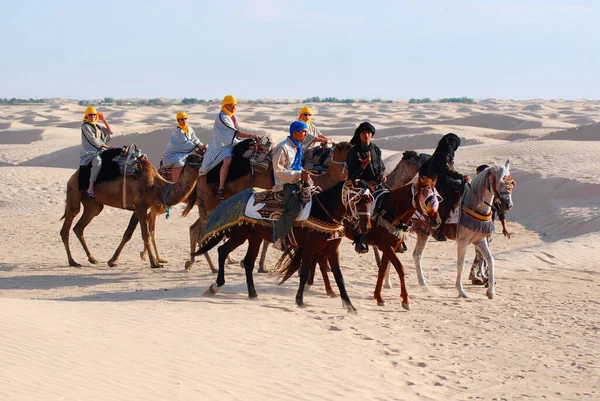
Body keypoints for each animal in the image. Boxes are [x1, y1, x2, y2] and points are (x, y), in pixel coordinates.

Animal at [60, 148, 204, 268]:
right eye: (199, 159)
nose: (208, 164)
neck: (156, 186)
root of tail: (73, 176)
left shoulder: (139, 208)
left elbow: (128, 233)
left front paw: (112, 261)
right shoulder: (140, 205)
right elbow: (145, 234)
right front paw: (155, 263)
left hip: (93, 205)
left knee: (79, 227)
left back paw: (92, 258)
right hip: (74, 193)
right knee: (66, 227)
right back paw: (72, 261)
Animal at [180, 141, 354, 272]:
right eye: (347, 147)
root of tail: (202, 173)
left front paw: (262, 266)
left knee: (196, 229)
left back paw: (193, 262)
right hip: (209, 205)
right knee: (202, 232)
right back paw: (211, 266)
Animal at [192, 179, 372, 312]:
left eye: (369, 201)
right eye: (359, 201)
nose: (366, 227)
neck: (321, 212)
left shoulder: (331, 250)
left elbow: (339, 276)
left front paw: (349, 306)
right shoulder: (309, 249)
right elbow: (304, 273)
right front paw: (299, 300)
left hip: (254, 238)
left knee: (248, 262)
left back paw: (252, 293)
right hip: (240, 235)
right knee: (222, 251)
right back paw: (215, 286)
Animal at [412, 161, 516, 298]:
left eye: (511, 183)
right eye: (499, 182)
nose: (508, 205)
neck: (473, 204)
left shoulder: (479, 240)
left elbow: (490, 260)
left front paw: (490, 291)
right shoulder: (462, 241)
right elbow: (460, 264)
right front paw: (461, 291)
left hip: (423, 232)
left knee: (417, 255)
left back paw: (423, 285)